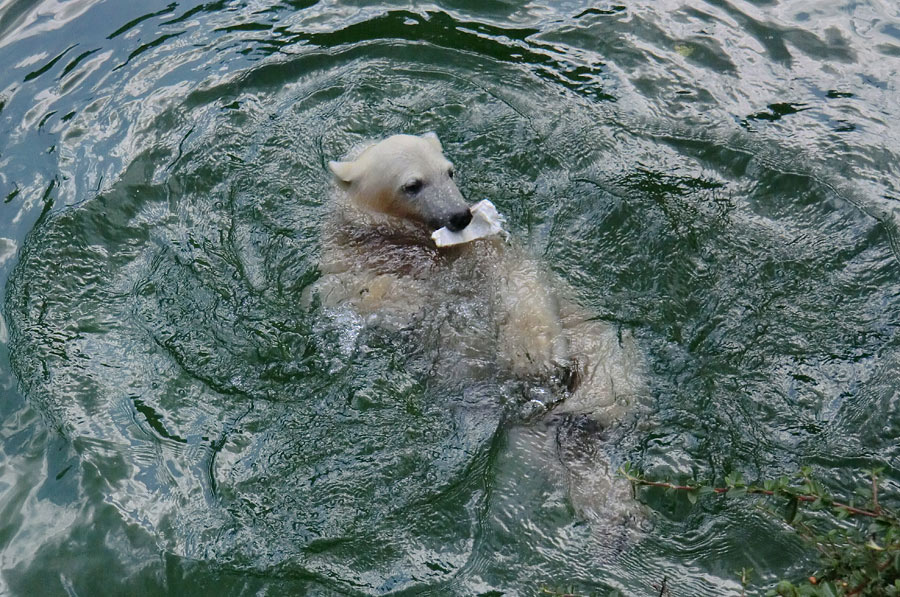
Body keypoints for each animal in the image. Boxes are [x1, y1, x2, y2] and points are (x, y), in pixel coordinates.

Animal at [310, 134, 648, 540]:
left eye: (449, 171)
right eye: (412, 185)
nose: (461, 215)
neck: (401, 240)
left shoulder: (491, 254)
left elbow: (520, 285)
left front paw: (535, 358)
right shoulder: (350, 263)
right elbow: (369, 297)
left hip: (599, 349)